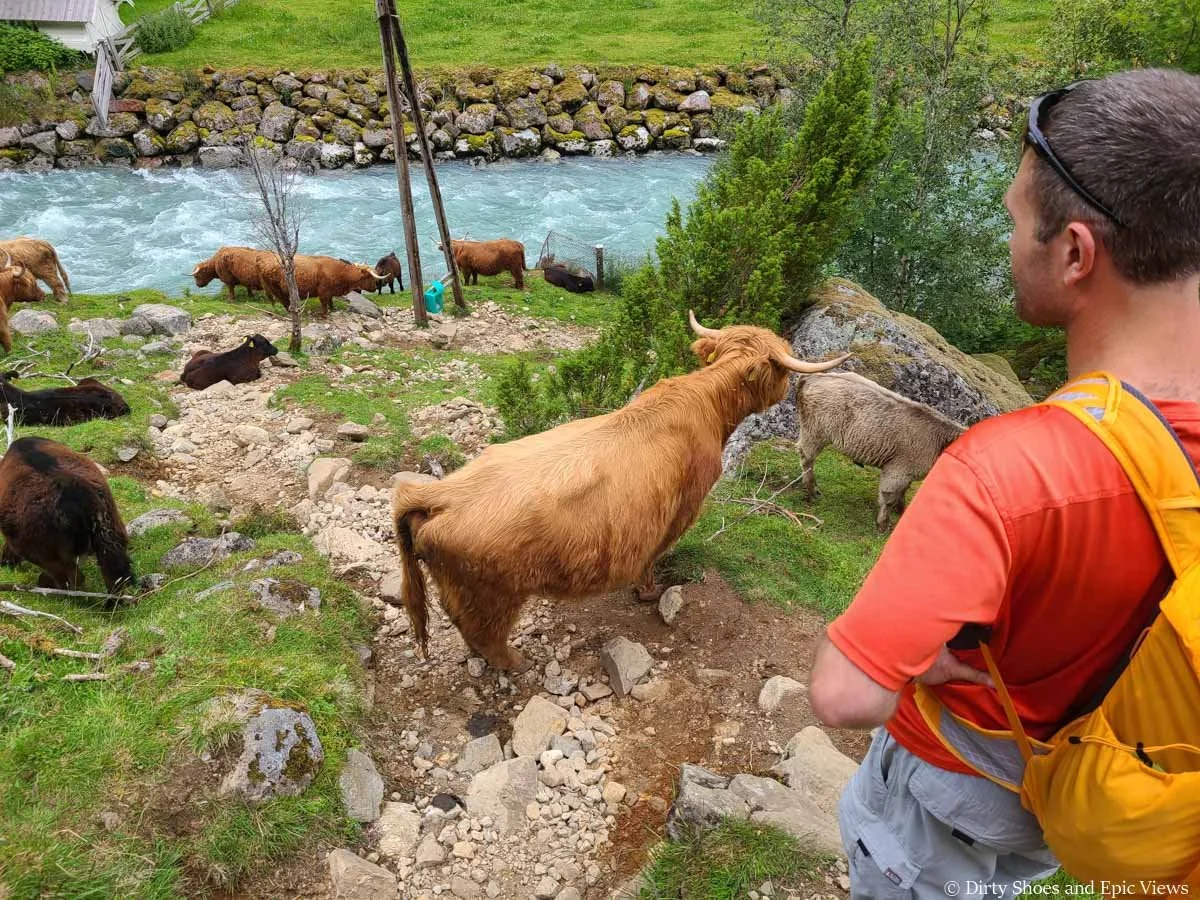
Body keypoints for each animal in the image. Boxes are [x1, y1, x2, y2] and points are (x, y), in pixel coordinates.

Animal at [255, 254, 388, 317]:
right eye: (371, 277)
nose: (375, 288)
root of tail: (262, 259)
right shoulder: (323, 291)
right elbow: (324, 304)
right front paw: (325, 314)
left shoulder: (330, 292)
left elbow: (330, 301)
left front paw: (333, 308)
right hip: (275, 288)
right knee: (283, 300)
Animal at [390, 310, 851, 672]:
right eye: (783, 370)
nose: (784, 392)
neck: (707, 402)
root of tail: (438, 495)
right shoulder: (679, 510)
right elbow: (653, 556)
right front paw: (648, 593)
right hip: (492, 595)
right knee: (483, 633)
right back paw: (517, 663)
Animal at [794, 370, 967, 531]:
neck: (939, 441)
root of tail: (811, 376)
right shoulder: (898, 470)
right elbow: (889, 497)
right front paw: (883, 525)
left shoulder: (907, 474)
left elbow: (902, 492)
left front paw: (902, 511)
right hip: (814, 433)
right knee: (807, 459)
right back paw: (811, 491)